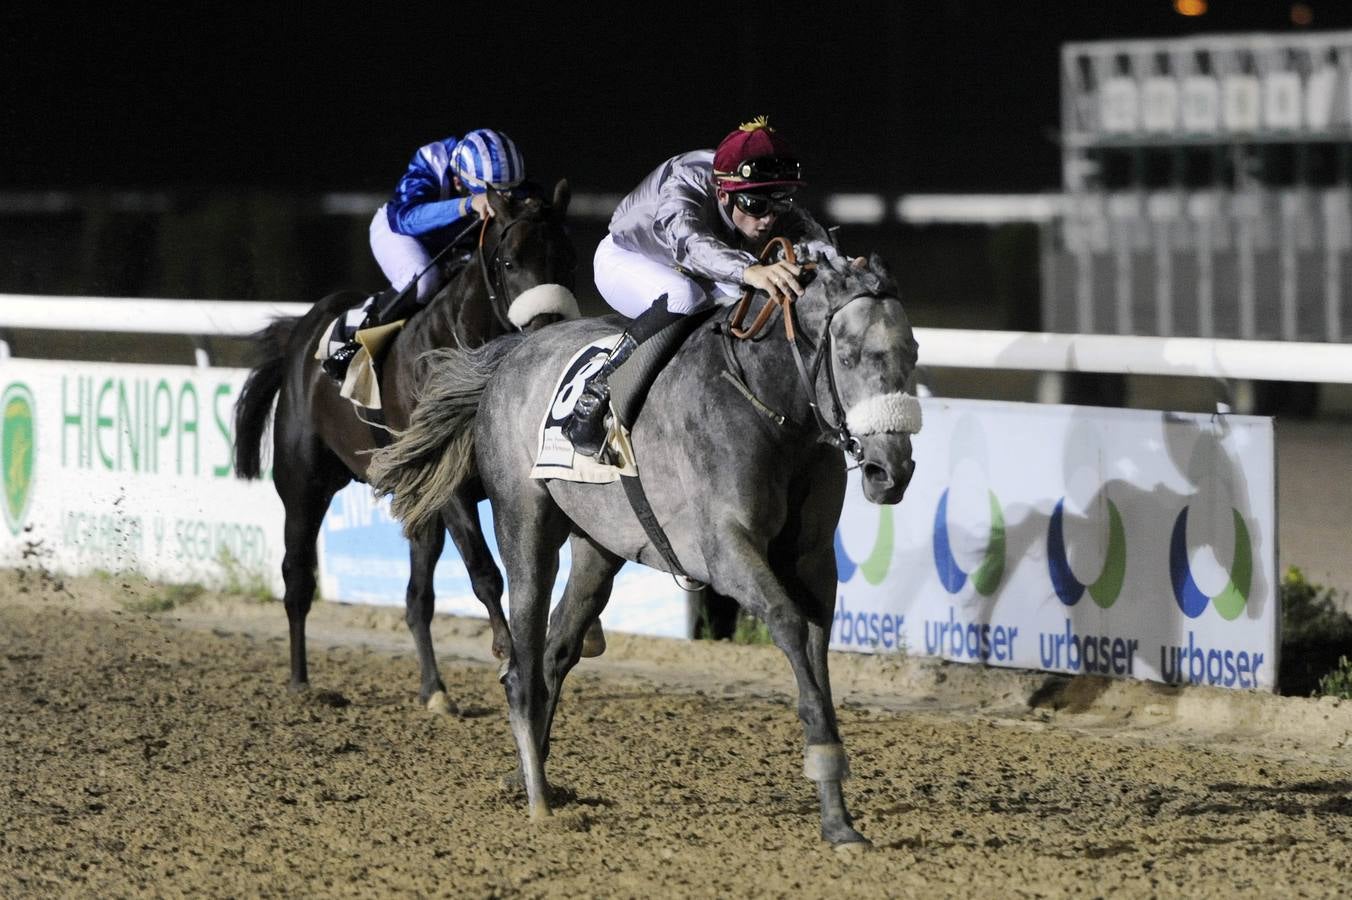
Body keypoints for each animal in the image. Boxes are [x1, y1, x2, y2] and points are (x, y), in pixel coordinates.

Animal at [233, 181, 581, 708]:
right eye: (508, 262)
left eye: (566, 256)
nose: (547, 328)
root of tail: (300, 336)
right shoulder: (453, 489)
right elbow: (484, 570)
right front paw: (506, 650)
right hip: (303, 484)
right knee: (297, 578)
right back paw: (301, 681)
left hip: (415, 502)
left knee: (417, 597)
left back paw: (434, 688)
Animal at [367, 248, 919, 843]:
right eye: (851, 353)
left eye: (912, 353)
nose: (891, 470)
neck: (767, 402)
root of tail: (511, 353)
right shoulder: (723, 551)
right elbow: (789, 624)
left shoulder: (812, 562)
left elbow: (815, 648)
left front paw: (838, 815)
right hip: (524, 525)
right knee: (520, 666)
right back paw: (538, 800)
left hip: (598, 546)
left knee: (556, 650)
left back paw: (527, 772)